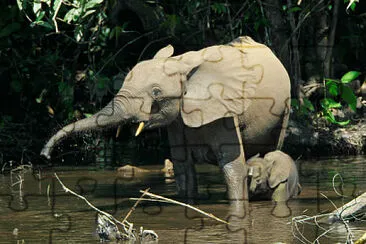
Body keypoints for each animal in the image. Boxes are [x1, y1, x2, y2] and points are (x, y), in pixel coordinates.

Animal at [40, 36, 292, 202]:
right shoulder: (176, 118)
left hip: (285, 109)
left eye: (156, 92)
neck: (181, 63)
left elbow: (232, 166)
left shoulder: (223, 107)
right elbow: (183, 167)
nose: (45, 156)